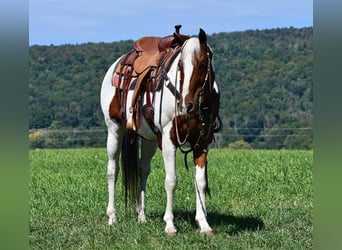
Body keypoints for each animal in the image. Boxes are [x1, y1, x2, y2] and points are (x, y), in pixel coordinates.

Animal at [99, 28, 222, 235]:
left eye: (203, 64)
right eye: (179, 66)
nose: (186, 105)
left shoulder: (202, 142)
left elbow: (201, 182)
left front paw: (204, 224)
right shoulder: (169, 139)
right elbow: (171, 181)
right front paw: (170, 225)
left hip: (149, 139)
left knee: (143, 169)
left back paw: (141, 216)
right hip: (114, 129)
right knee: (112, 171)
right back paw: (112, 217)